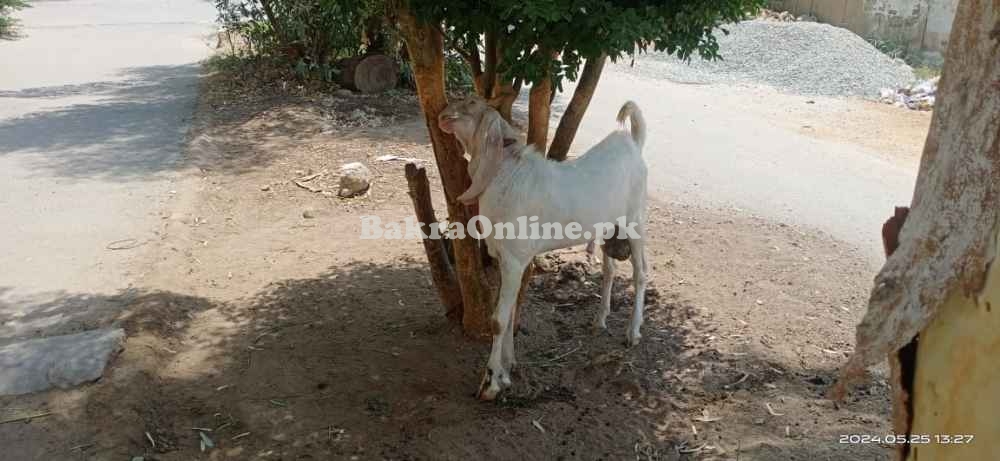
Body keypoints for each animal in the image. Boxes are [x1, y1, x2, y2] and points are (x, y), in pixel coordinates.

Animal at [438, 97, 648, 398]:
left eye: (471, 104)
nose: (442, 116)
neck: (506, 174)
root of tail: (633, 143)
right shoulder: (507, 258)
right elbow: (510, 312)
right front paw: (508, 367)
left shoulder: (514, 259)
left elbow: (498, 319)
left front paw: (492, 382)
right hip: (609, 225)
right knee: (609, 269)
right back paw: (600, 319)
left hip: (636, 220)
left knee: (641, 273)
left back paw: (633, 333)